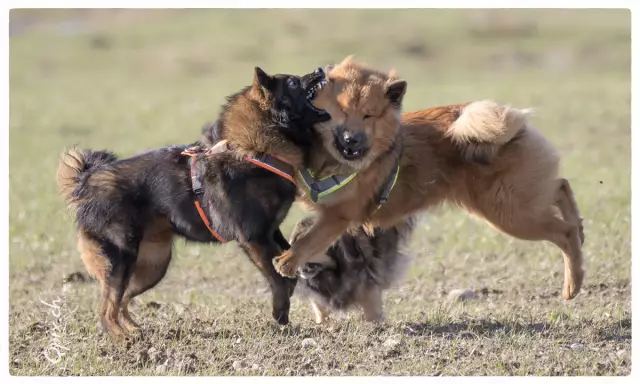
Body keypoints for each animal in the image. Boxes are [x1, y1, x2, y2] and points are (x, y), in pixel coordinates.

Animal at [56, 67, 330, 338]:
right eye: (293, 83)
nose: (320, 69)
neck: (255, 150)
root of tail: (87, 181)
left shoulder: (271, 232)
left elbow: (289, 263)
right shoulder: (254, 238)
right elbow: (279, 279)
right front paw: (280, 313)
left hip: (153, 265)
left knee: (121, 300)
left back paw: (134, 329)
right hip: (121, 259)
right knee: (106, 310)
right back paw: (125, 339)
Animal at [274, 57, 584, 304]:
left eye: (368, 115)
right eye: (342, 111)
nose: (353, 140)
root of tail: (512, 126)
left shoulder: (339, 215)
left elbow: (309, 240)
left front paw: (288, 261)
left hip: (509, 212)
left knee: (563, 230)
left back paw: (573, 283)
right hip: (517, 201)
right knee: (561, 187)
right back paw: (580, 227)